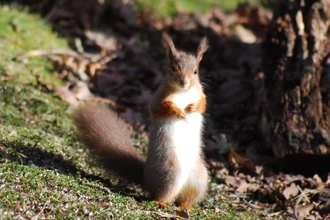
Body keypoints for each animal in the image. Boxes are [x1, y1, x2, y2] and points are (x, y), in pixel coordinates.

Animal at [75, 32, 209, 208]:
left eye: (195, 71)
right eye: (173, 68)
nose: (183, 82)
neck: (184, 92)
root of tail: (146, 179)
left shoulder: (200, 93)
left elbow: (203, 105)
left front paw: (192, 107)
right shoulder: (158, 99)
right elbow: (161, 107)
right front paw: (179, 112)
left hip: (199, 178)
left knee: (183, 199)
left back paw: (187, 207)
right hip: (171, 172)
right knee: (157, 195)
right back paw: (162, 203)